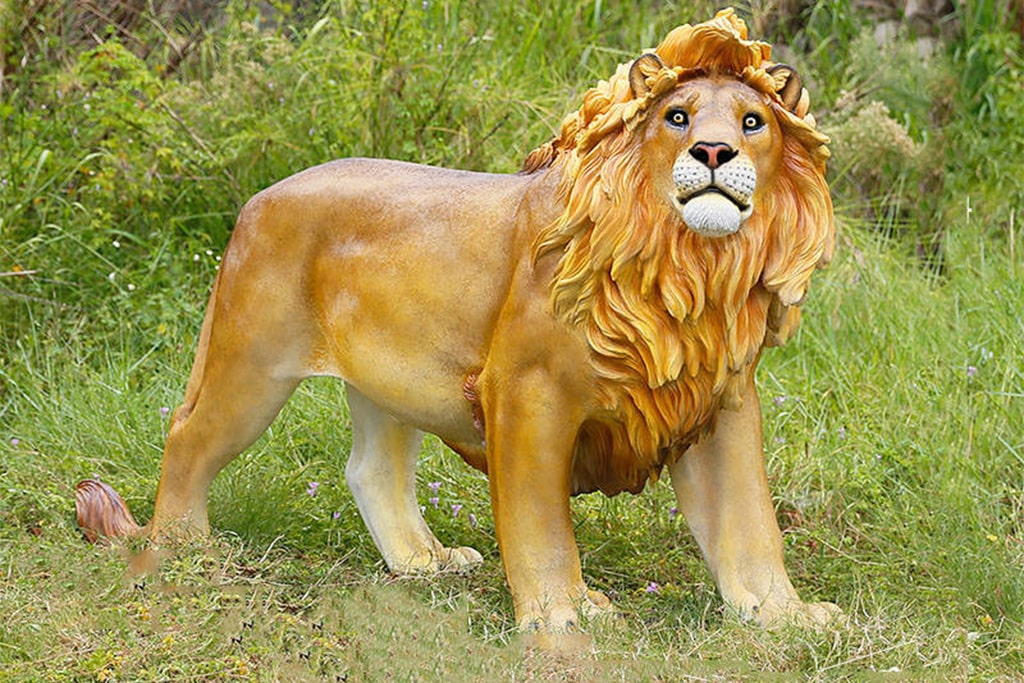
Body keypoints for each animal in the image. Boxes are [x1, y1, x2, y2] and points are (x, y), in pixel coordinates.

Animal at [77, 9, 838, 637]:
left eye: (752, 123)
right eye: (678, 117)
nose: (713, 153)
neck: (689, 271)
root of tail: (257, 200)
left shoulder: (719, 402)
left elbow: (750, 519)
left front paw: (785, 614)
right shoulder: (526, 391)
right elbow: (538, 518)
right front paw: (561, 614)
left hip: (387, 377)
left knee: (369, 469)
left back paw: (424, 563)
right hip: (253, 362)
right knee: (188, 434)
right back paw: (182, 550)